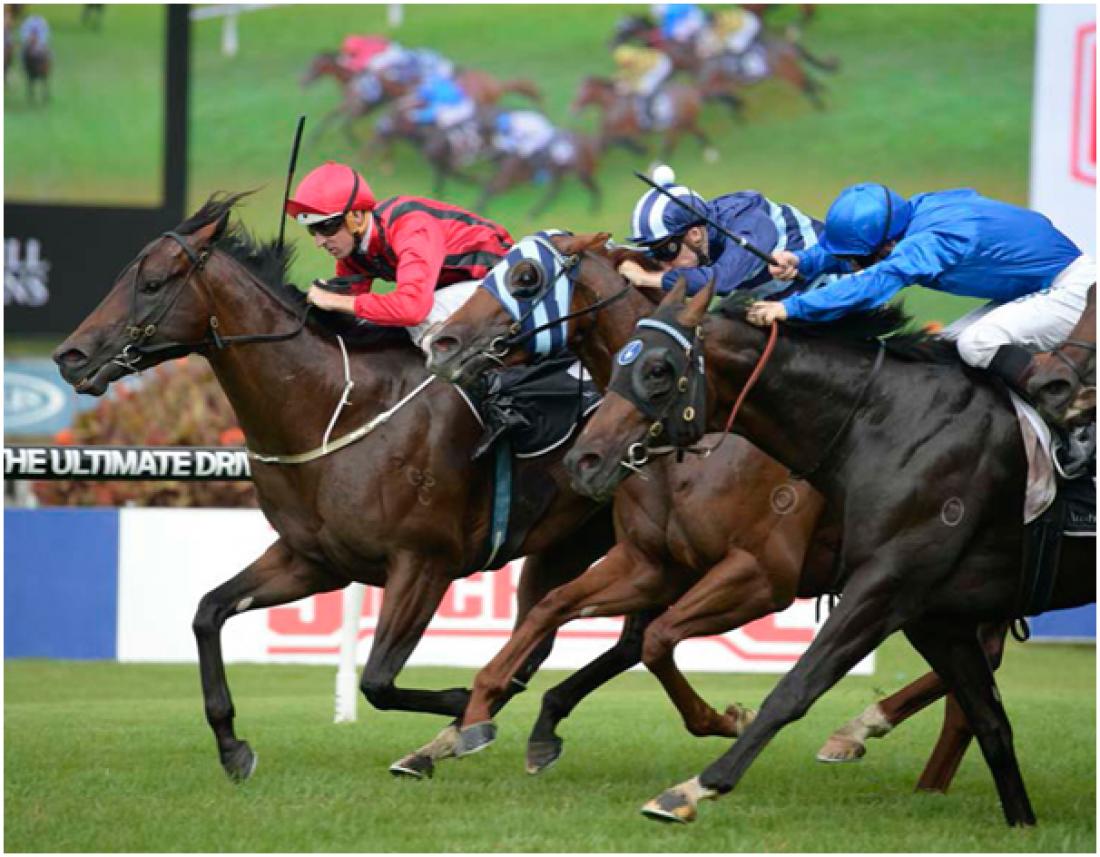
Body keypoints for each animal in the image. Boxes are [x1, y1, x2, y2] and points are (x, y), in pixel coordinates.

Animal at [50, 192, 647, 783]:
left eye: (151, 283)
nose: (69, 356)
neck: (337, 406)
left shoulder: (424, 562)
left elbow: (377, 680)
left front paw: (463, 705)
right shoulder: (313, 560)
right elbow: (208, 611)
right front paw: (231, 746)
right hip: (571, 542)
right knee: (580, 632)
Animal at [420, 231, 1014, 791]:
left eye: (524, 277)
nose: (442, 343)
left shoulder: (761, 574)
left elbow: (658, 640)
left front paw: (726, 719)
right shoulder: (650, 563)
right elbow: (556, 608)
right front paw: (468, 720)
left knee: (978, 665)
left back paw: (863, 730)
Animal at [564, 281, 1095, 825]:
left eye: (658, 369)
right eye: (622, 361)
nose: (583, 460)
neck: (887, 422)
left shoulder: (872, 584)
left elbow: (796, 685)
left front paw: (694, 787)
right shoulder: (934, 614)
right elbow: (992, 723)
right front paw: (1022, 823)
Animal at [571, 76, 716, 162]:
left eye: (583, 93)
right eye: (577, 92)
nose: (572, 108)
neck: (614, 104)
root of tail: (693, 91)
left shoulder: (625, 131)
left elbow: (619, 142)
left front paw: (641, 150)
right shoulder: (609, 131)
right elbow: (604, 143)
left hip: (679, 124)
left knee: (670, 143)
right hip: (684, 123)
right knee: (696, 133)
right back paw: (709, 153)